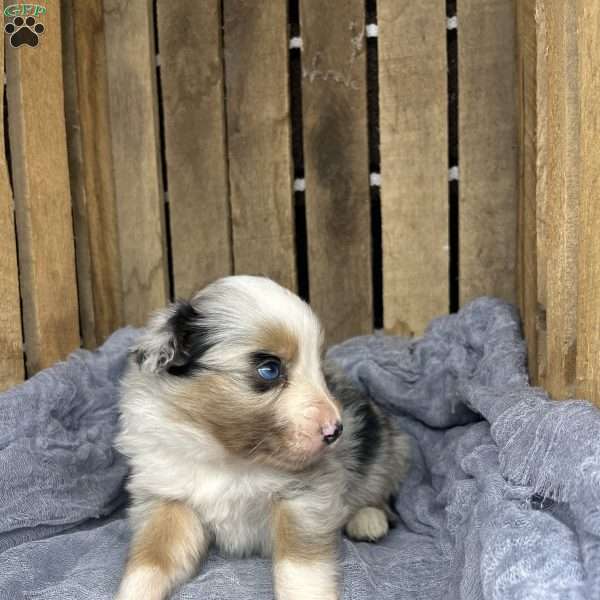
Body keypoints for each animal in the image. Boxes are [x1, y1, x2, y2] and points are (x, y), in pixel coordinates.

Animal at [115, 276, 410, 600]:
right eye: (269, 369)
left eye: (319, 369)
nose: (336, 431)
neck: (226, 456)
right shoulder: (168, 500)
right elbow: (152, 559)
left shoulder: (303, 496)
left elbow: (299, 567)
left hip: (386, 449)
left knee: (378, 489)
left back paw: (368, 519)